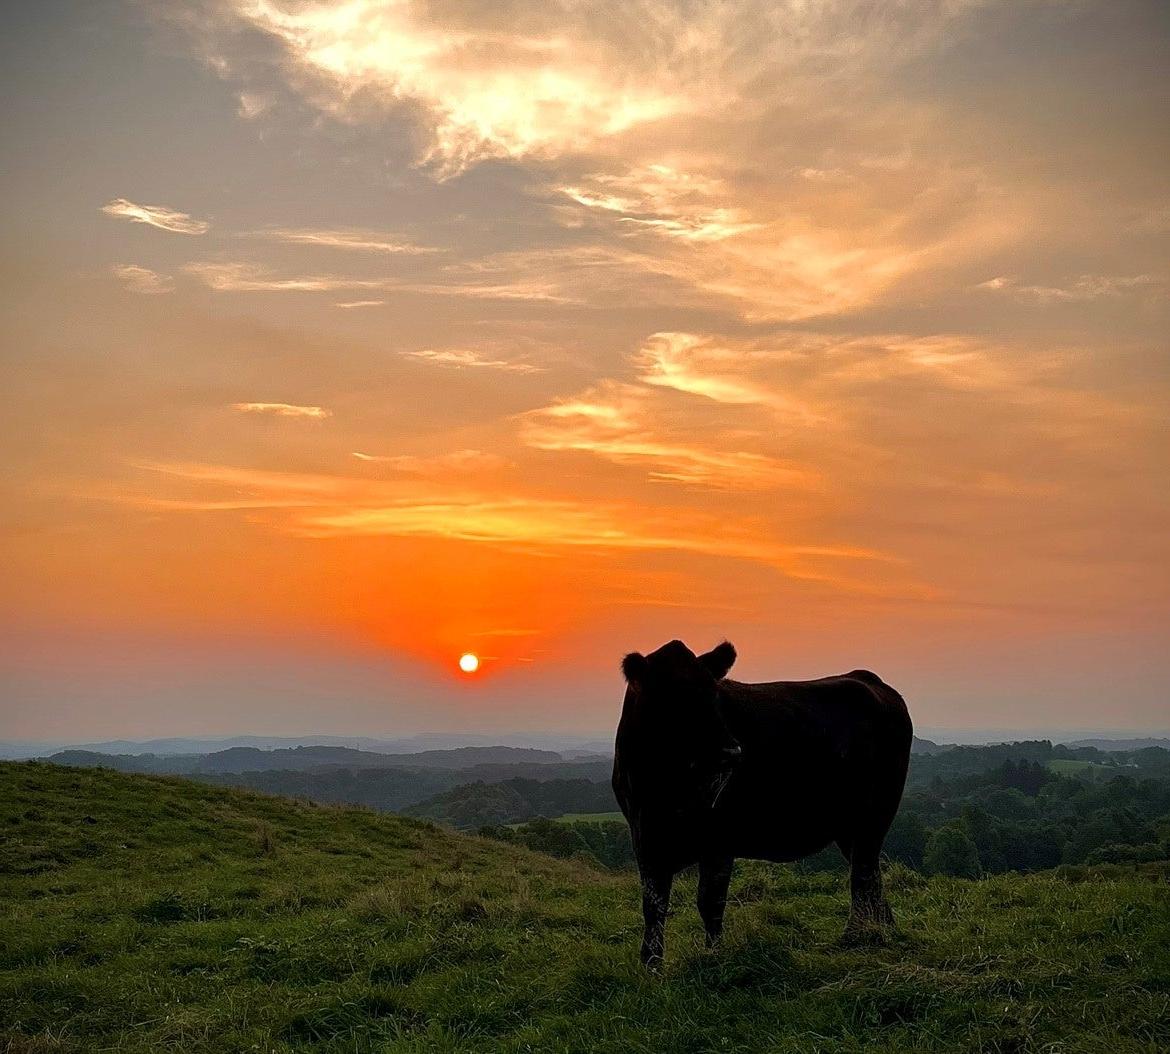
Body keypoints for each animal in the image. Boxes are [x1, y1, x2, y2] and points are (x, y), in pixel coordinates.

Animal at [608, 636, 917, 968]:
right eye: (676, 697)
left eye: (714, 693)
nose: (730, 751)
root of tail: (869, 680)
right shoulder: (644, 834)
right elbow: (653, 904)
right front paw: (651, 963)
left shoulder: (719, 836)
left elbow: (710, 901)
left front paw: (715, 956)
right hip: (849, 826)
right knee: (871, 873)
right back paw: (882, 930)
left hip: (876, 812)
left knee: (863, 873)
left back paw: (856, 935)